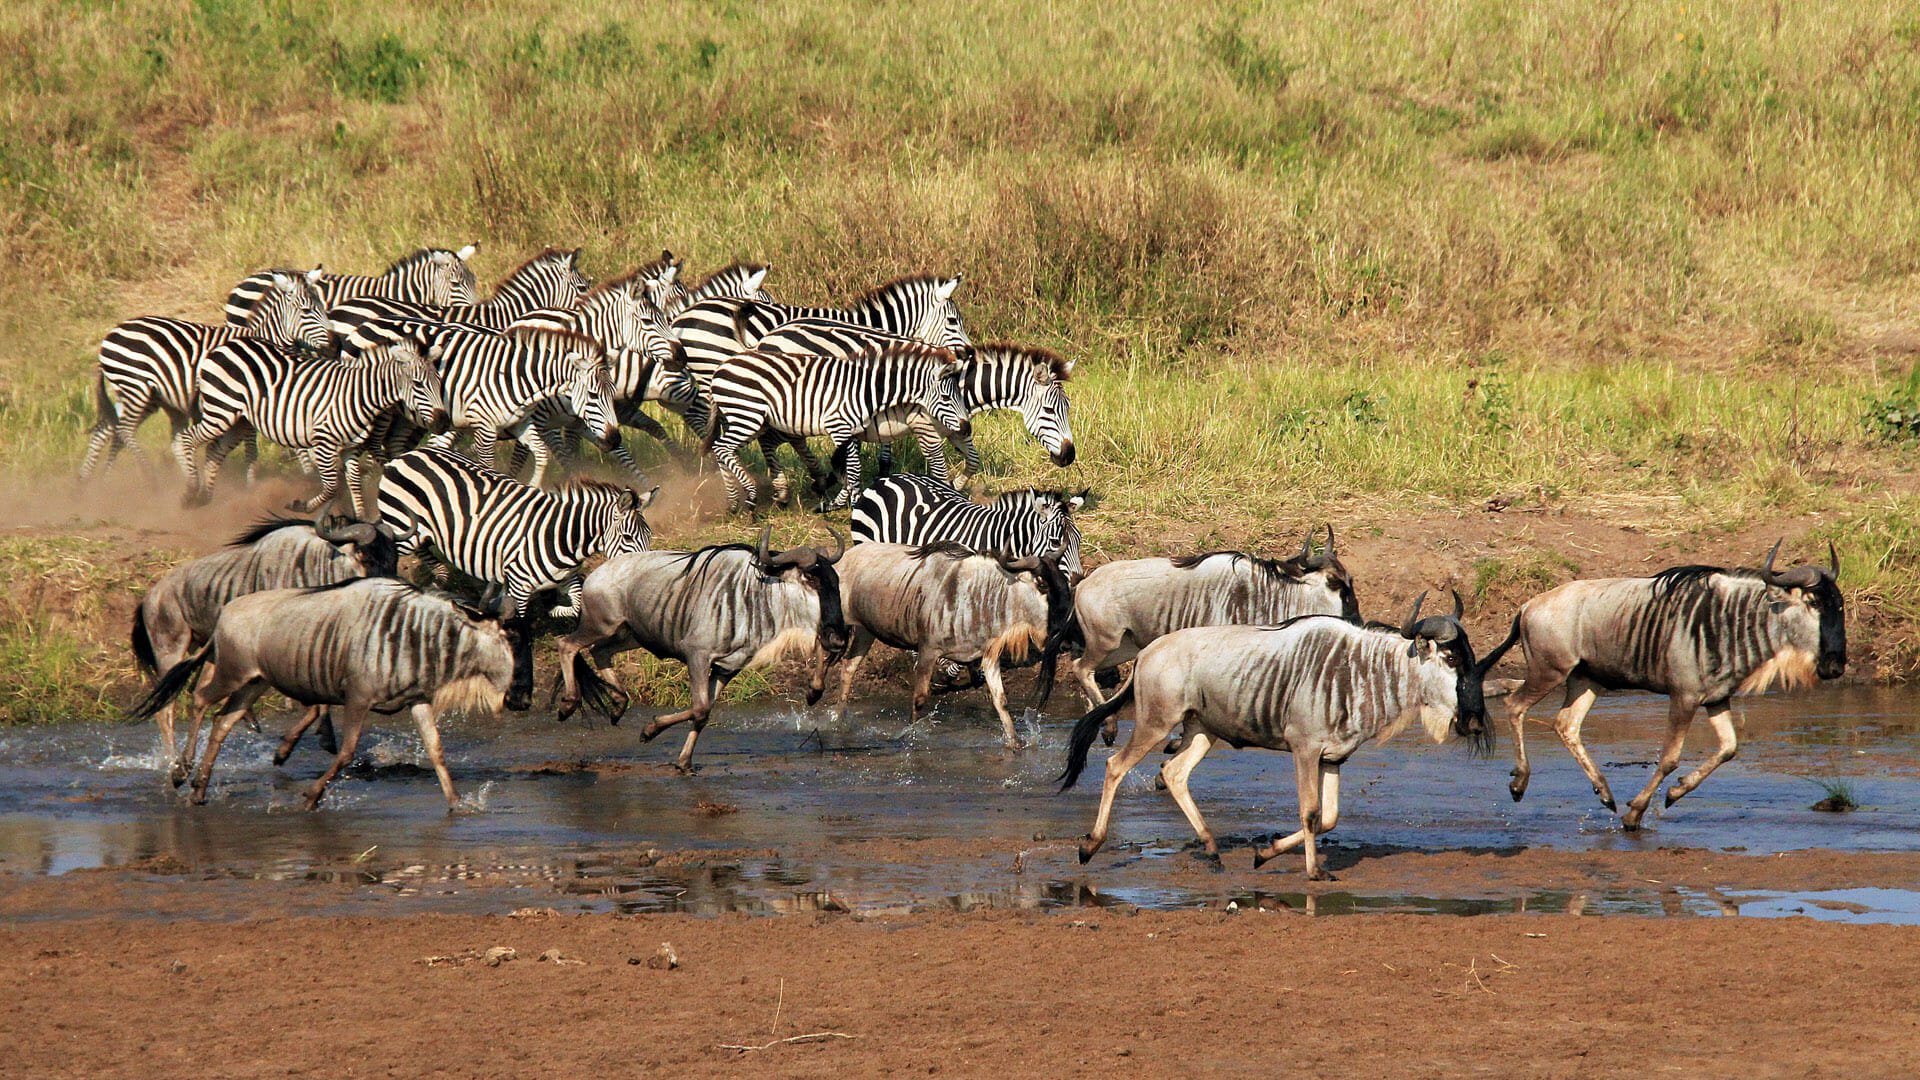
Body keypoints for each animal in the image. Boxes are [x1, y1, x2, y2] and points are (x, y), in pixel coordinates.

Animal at [82, 268, 333, 483]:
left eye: (323, 307)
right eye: (307, 311)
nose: (334, 343)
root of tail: (110, 334)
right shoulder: (247, 400)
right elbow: (253, 447)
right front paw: (252, 483)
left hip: (139, 393)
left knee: (107, 430)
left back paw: (89, 484)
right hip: (137, 388)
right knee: (123, 429)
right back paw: (148, 475)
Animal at [180, 335, 449, 514]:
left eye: (439, 382)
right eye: (418, 384)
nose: (443, 421)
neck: (357, 395)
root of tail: (224, 346)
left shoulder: (350, 447)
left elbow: (354, 485)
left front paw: (362, 520)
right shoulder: (324, 443)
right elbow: (332, 487)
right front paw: (302, 506)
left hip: (238, 420)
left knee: (215, 451)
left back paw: (205, 497)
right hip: (220, 411)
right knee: (188, 438)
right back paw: (190, 491)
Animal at [374, 446, 656, 709]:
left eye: (649, 537)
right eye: (628, 538)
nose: (642, 571)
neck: (561, 536)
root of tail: (408, 454)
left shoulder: (565, 577)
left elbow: (575, 605)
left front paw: (550, 609)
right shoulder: (520, 584)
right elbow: (521, 631)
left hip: (421, 533)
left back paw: (439, 576)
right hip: (403, 527)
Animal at [704, 344, 972, 511]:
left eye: (961, 395)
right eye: (946, 398)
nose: (967, 428)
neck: (866, 391)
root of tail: (722, 366)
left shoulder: (851, 430)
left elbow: (852, 468)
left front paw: (847, 500)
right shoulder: (839, 427)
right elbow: (852, 470)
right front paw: (851, 503)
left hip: (749, 420)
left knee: (723, 450)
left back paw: (734, 502)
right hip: (747, 416)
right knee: (722, 448)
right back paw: (749, 495)